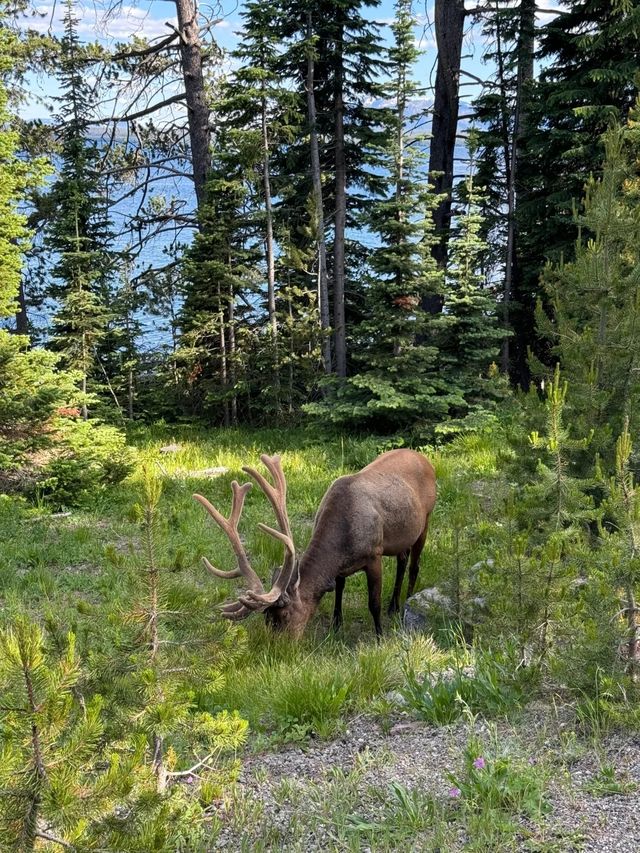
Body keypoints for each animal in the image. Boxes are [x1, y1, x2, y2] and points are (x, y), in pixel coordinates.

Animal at [192, 450, 438, 636]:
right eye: (266, 619)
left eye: (284, 615)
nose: (275, 648)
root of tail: (425, 459)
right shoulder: (342, 568)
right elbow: (338, 589)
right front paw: (336, 625)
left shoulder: (374, 554)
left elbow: (373, 602)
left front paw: (379, 636)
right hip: (402, 536)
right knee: (402, 560)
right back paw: (393, 606)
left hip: (426, 519)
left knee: (414, 566)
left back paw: (406, 601)